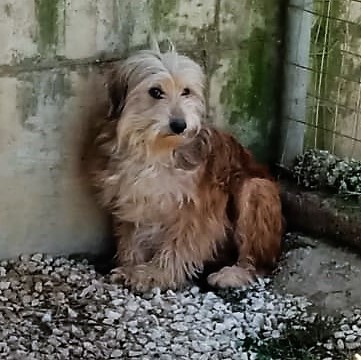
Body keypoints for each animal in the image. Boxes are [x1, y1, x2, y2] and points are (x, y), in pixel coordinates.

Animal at [86, 49, 282, 292]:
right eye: (155, 91)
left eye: (186, 91)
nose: (180, 125)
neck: (156, 151)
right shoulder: (133, 200)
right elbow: (131, 239)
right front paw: (130, 267)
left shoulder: (198, 209)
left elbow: (179, 245)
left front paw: (154, 274)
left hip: (256, 189)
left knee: (259, 261)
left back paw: (234, 273)